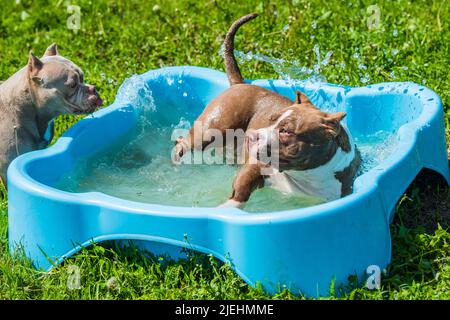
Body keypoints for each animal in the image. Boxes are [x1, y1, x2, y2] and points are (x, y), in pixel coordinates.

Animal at [174, 13, 360, 209]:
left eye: (286, 131)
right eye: (271, 119)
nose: (252, 136)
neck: (308, 177)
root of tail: (240, 84)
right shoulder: (255, 165)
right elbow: (242, 186)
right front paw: (229, 207)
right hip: (212, 128)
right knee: (184, 143)